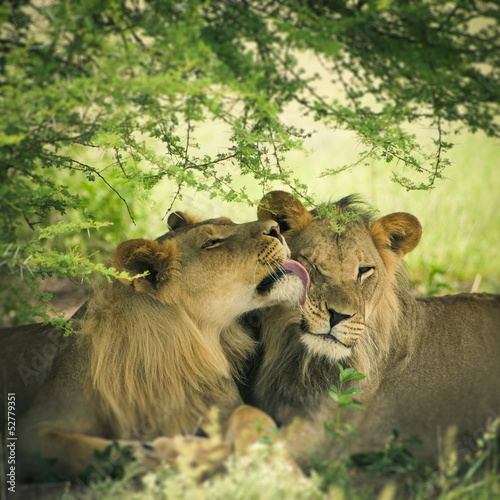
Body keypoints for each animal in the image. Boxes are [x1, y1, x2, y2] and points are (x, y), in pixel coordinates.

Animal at [2, 211, 308, 480]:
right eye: (212, 243)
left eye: (230, 222)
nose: (277, 228)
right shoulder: (34, 429)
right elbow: (88, 450)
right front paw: (181, 454)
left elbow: (254, 414)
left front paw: (280, 469)